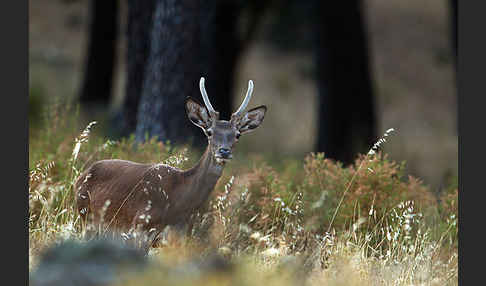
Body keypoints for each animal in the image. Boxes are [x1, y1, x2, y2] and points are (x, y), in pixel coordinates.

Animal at [74, 77, 268, 249]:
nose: (224, 151)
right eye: (209, 132)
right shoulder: (141, 227)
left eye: (237, 135)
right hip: (87, 217)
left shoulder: (180, 236)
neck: (178, 203)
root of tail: (80, 177)